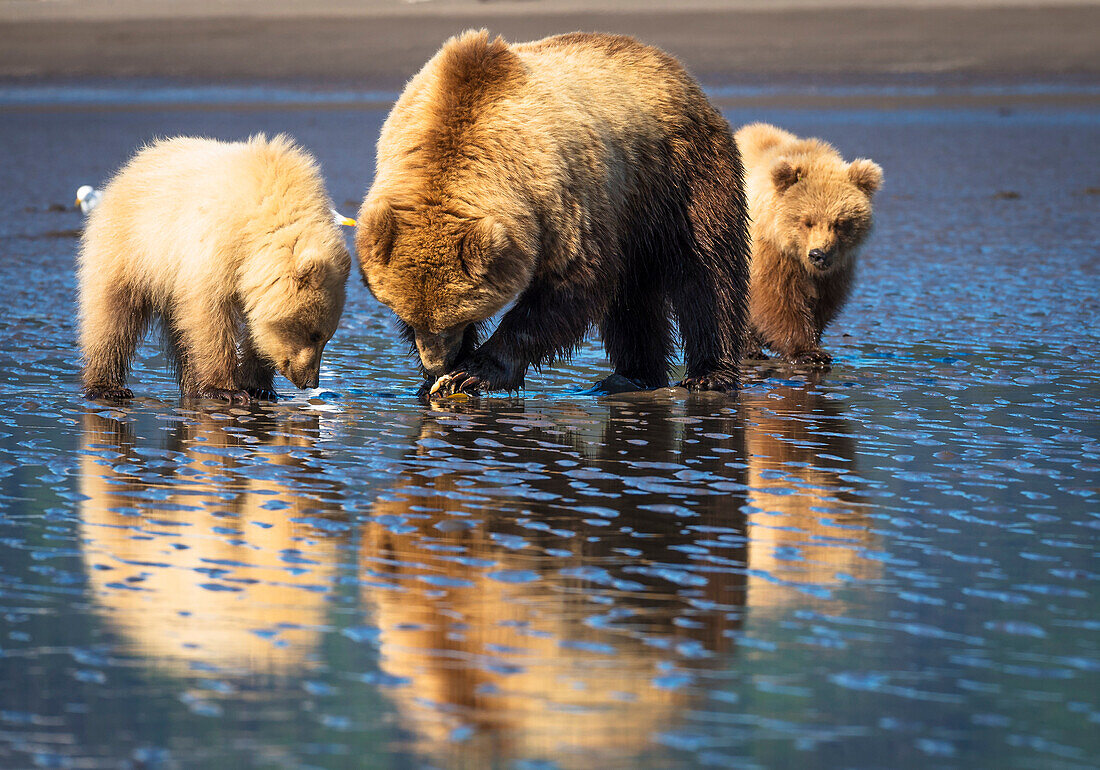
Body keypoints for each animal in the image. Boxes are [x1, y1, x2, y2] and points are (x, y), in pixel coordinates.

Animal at [356, 29, 752, 393]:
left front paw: (476, 370)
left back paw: (708, 374)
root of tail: (669, 65)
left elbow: (571, 282)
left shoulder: (559, 194)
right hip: (634, 209)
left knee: (707, 271)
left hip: (678, 173)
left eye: (453, 319)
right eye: (408, 317)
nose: (437, 362)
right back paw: (632, 375)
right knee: (633, 294)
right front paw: (436, 380)